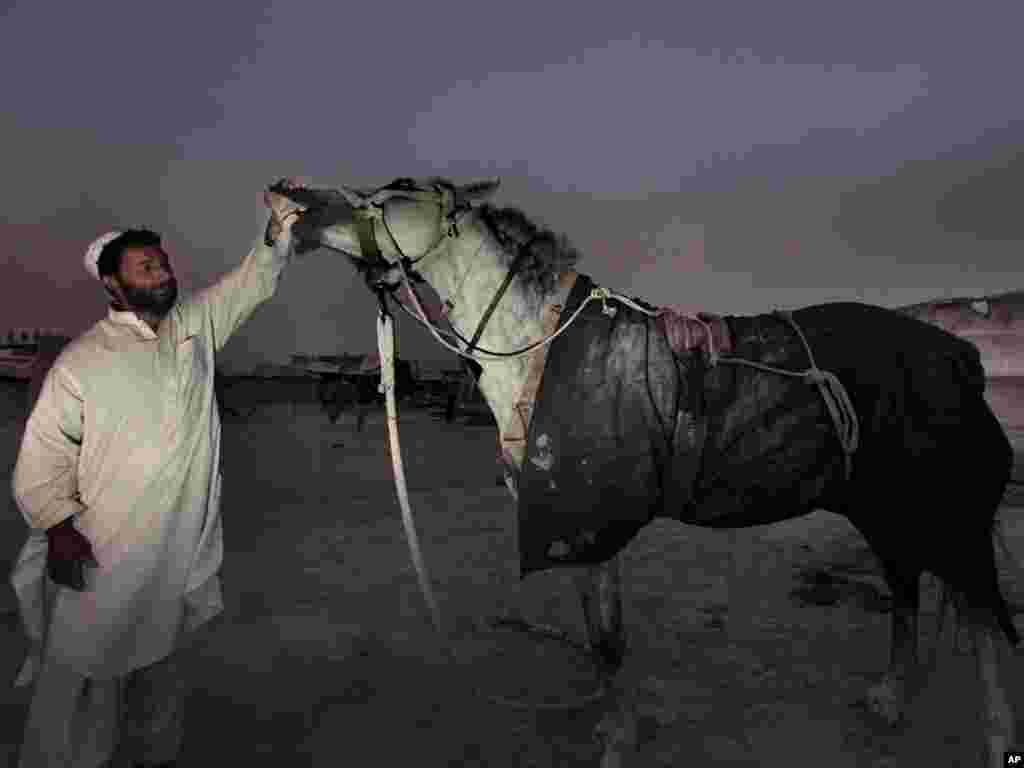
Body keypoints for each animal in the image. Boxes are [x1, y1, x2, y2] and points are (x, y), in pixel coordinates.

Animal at [268, 179, 1019, 765]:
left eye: (395, 195)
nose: (292, 200)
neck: (538, 343)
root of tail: (963, 356)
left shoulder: (586, 519)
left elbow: (608, 640)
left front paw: (616, 741)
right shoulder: (579, 526)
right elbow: (603, 637)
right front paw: (614, 729)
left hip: (949, 516)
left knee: (987, 623)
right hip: (882, 506)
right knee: (906, 588)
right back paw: (891, 698)